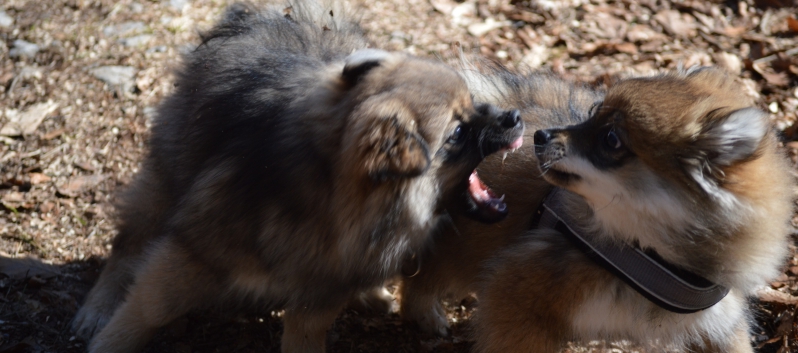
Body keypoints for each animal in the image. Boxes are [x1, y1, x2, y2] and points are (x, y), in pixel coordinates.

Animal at [72, 1, 524, 350]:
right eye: (458, 133)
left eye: (475, 103)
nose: (515, 117)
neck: (330, 200)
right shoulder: (192, 254)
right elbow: (147, 310)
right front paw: (110, 342)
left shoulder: (319, 293)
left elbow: (304, 337)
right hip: (167, 177)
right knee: (128, 243)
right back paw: (96, 309)